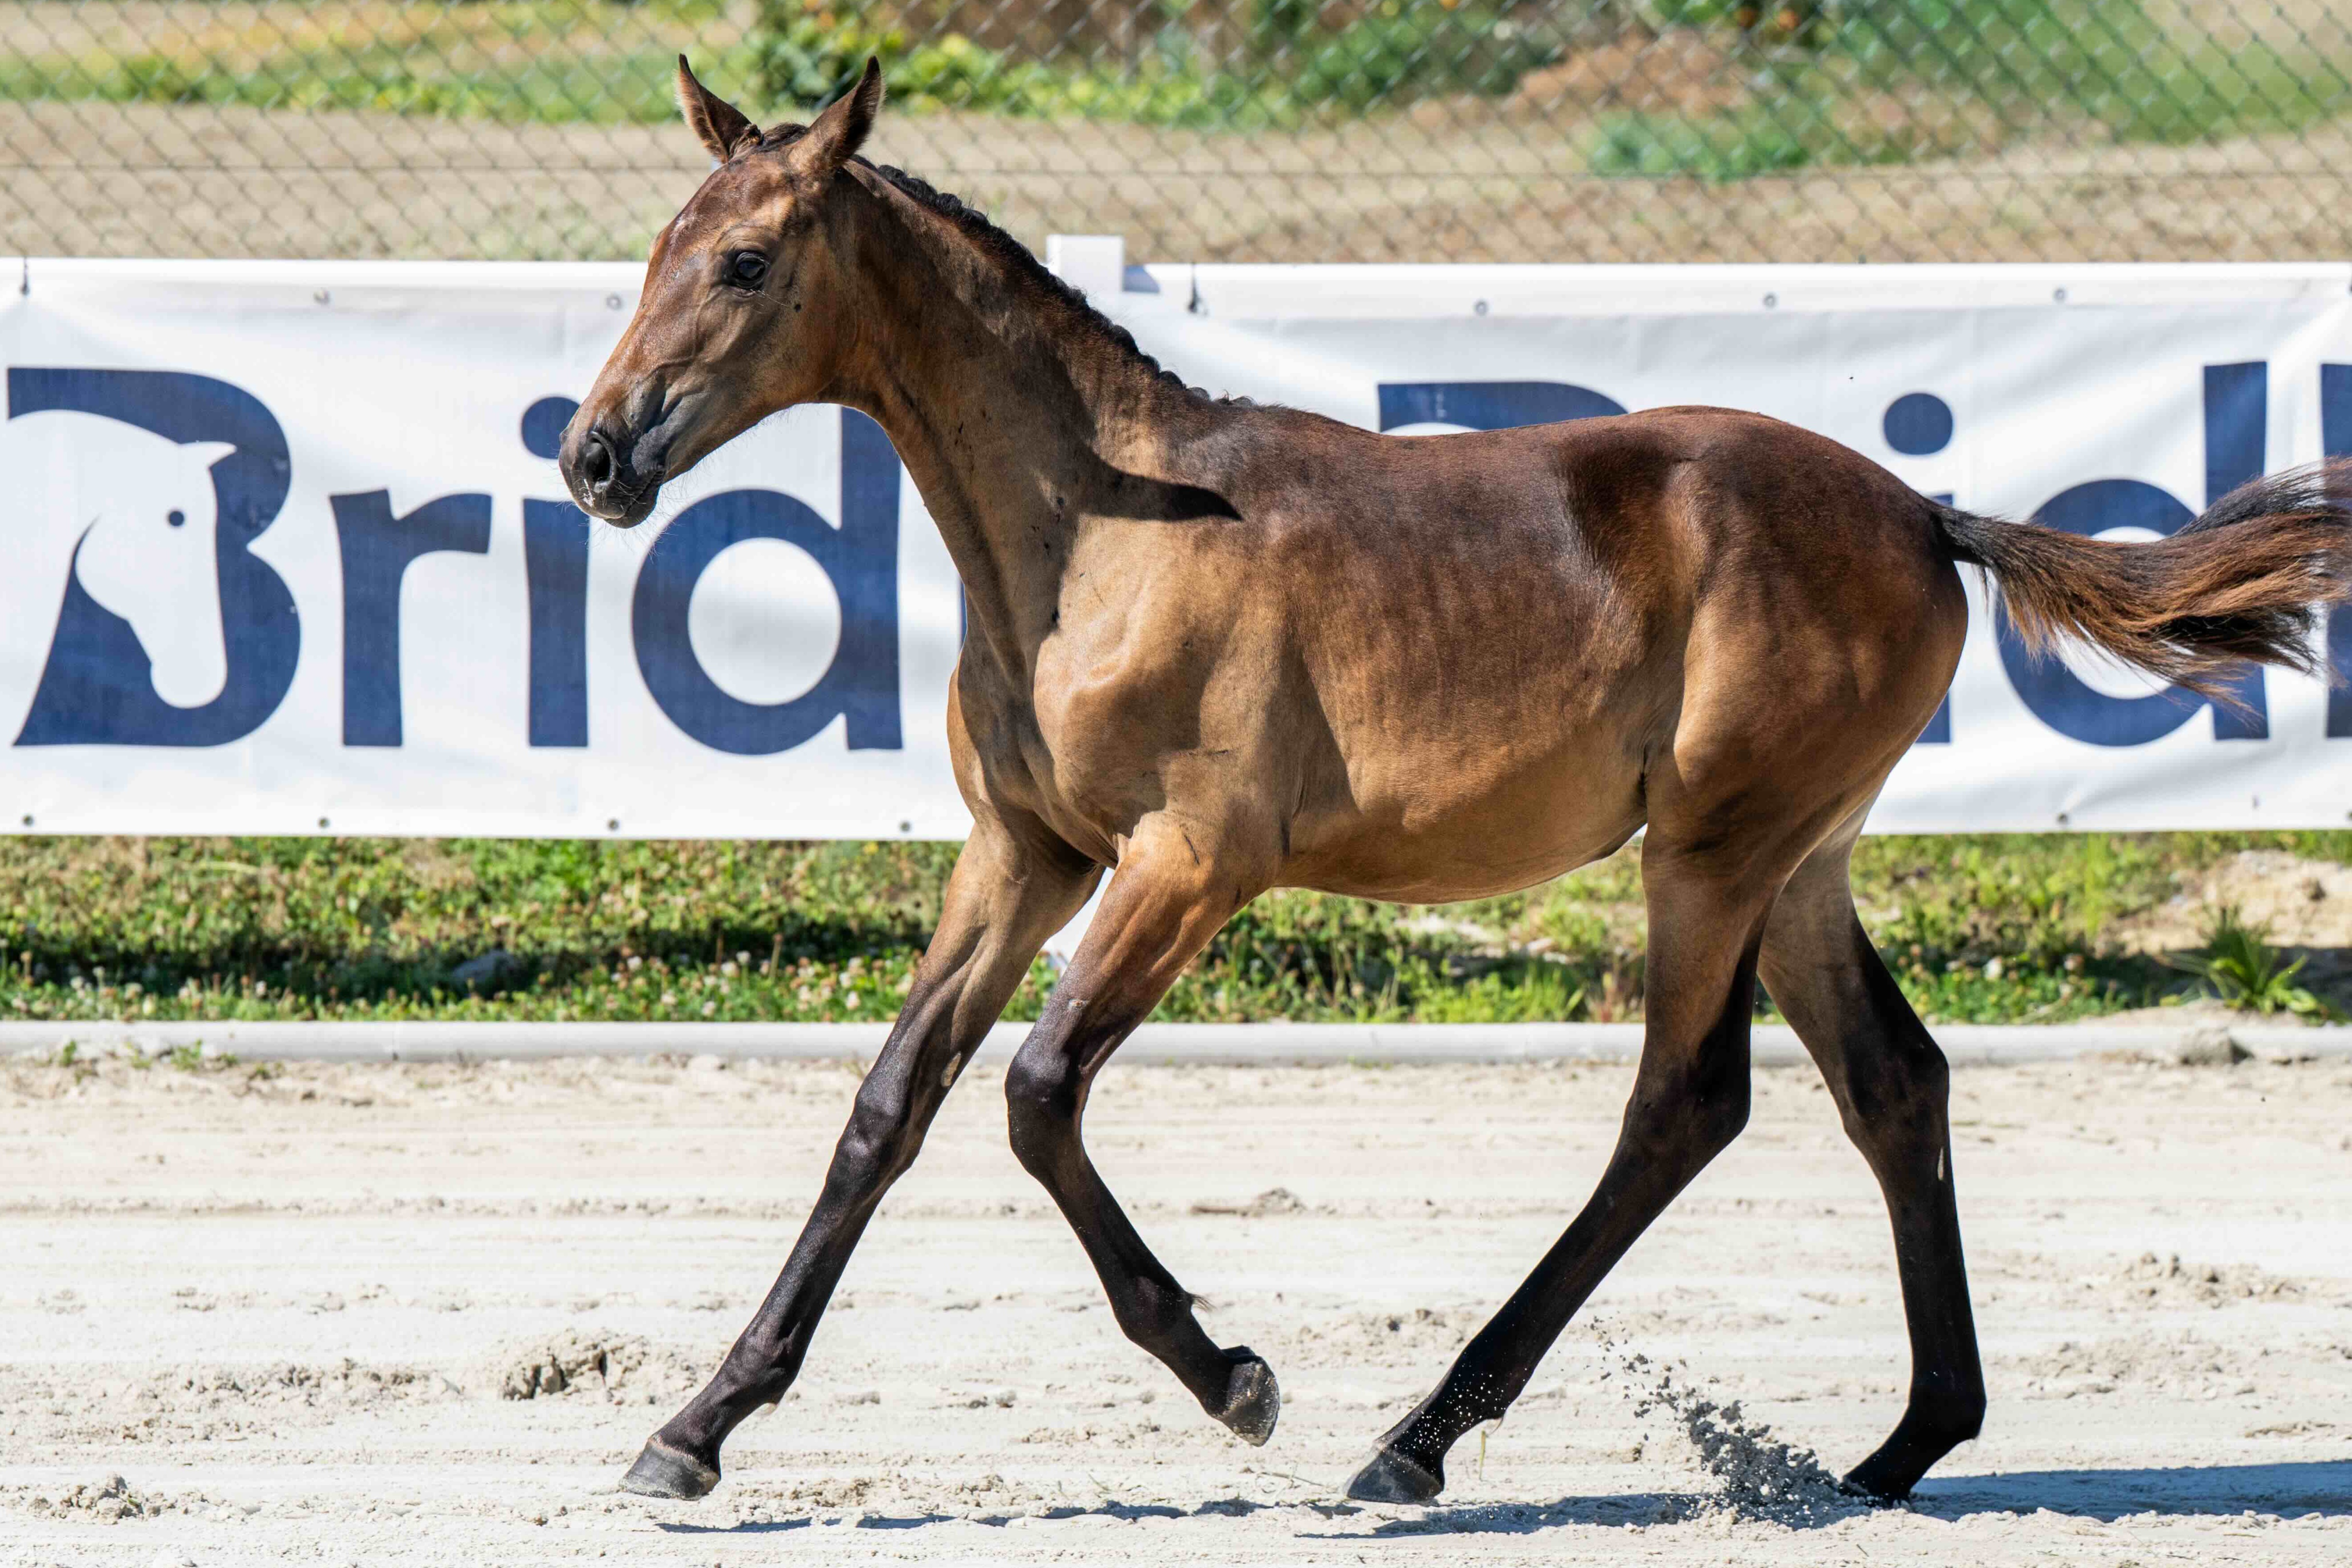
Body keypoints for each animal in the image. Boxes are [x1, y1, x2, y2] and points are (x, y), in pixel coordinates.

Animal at [560, 57, 2352, 1507]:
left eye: (744, 259)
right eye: (648, 250)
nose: (594, 455)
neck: (1100, 541)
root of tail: (1923, 512)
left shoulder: (1188, 860)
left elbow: (1035, 1090)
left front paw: (1235, 1378)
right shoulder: (1022, 854)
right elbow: (889, 1104)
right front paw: (692, 1427)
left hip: (1710, 849)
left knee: (1684, 1101)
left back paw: (1416, 1439)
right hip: (1801, 860)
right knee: (1891, 1080)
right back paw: (1900, 1446)